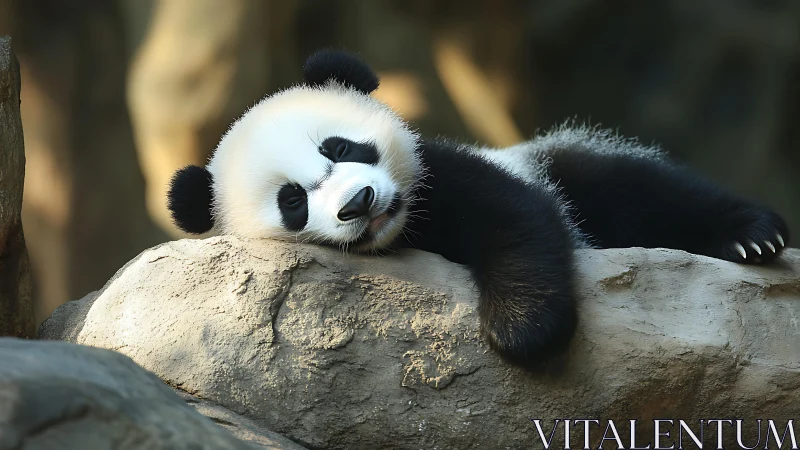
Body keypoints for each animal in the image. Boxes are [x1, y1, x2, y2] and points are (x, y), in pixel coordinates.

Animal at [167, 49, 790, 369]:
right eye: (293, 200)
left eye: (339, 148)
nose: (359, 203)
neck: (403, 231)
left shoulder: (442, 172)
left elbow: (514, 216)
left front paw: (522, 330)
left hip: (559, 162)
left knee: (636, 190)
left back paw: (751, 236)